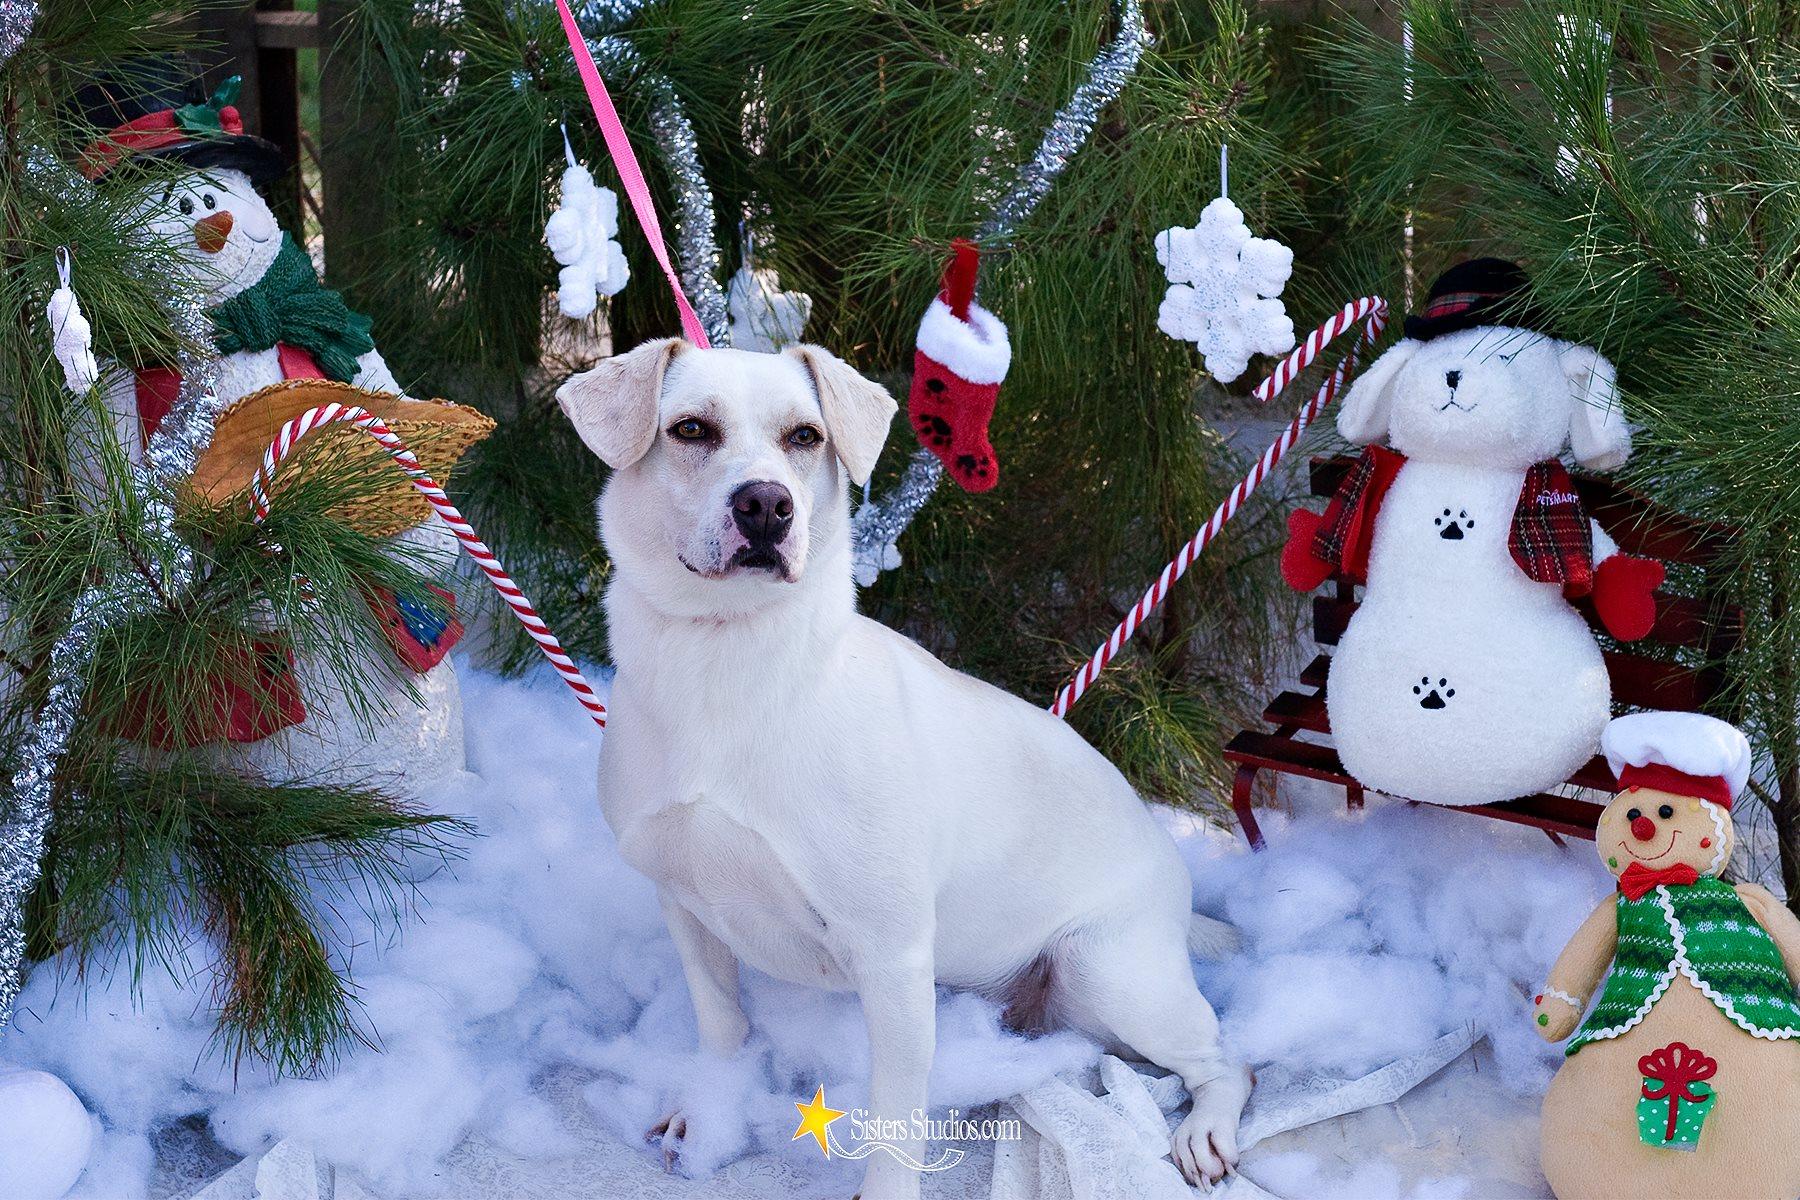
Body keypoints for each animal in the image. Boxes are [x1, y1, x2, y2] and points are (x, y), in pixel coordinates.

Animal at [558, 340, 1252, 1200]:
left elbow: (897, 1113)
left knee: (1228, 1062)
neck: (726, 661)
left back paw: (1205, 1133)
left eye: (806, 436)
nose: (767, 507)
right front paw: (710, 1115)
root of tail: (1173, 871)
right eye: (689, 428)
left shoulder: (890, 956)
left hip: (1108, 969)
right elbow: (721, 1024)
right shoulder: (685, 904)